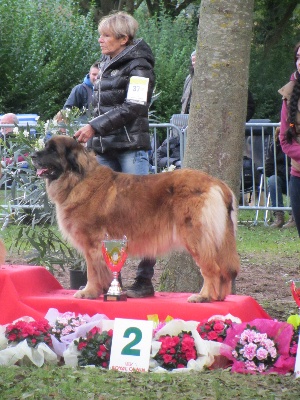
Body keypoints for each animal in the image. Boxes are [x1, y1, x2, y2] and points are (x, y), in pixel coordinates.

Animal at [31, 136, 240, 302]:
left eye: (52, 150)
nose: (32, 155)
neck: (78, 179)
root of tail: (217, 184)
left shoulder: (93, 243)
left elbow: (92, 270)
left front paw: (88, 292)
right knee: (223, 270)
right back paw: (219, 296)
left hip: (196, 236)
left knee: (212, 269)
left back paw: (204, 296)